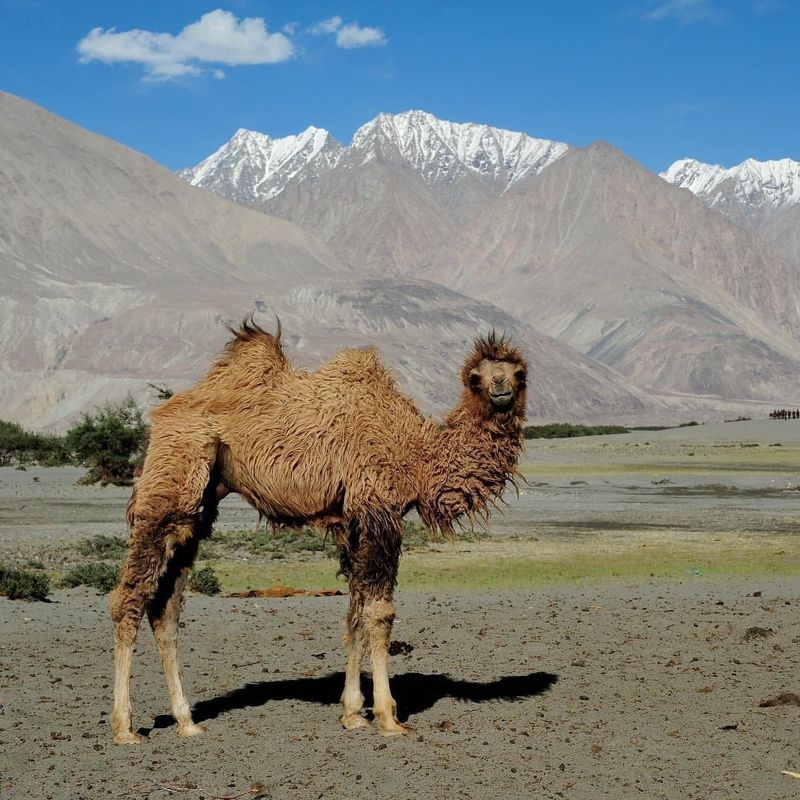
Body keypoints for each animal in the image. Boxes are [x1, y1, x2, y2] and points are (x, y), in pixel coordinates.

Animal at [109, 316, 528, 740]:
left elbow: (355, 613)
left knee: (165, 608)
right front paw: (388, 717)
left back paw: (187, 721)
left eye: (518, 373)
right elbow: (379, 613)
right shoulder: (378, 508)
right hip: (175, 476)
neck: (415, 453)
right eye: (475, 378)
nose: (501, 389)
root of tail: (160, 418)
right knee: (129, 597)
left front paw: (353, 712)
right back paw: (125, 727)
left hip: (200, 505)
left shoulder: (354, 521)